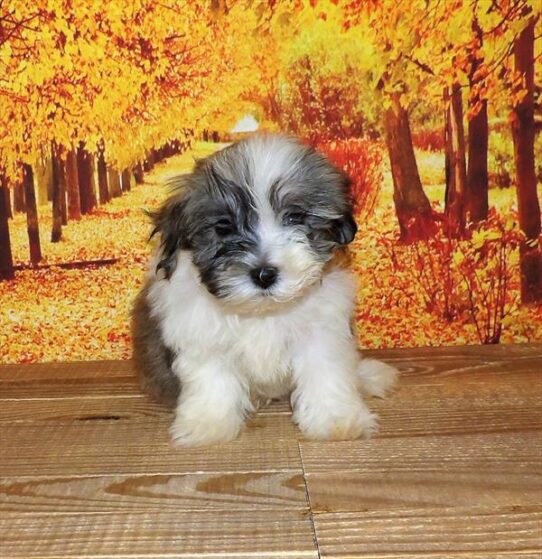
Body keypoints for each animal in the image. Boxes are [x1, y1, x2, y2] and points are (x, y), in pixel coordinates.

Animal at [130, 133, 398, 448]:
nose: (263, 274)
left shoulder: (322, 330)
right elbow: (212, 379)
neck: (261, 312)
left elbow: (325, 371)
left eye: (294, 217)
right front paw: (209, 424)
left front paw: (336, 419)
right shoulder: (202, 335)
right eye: (223, 227)